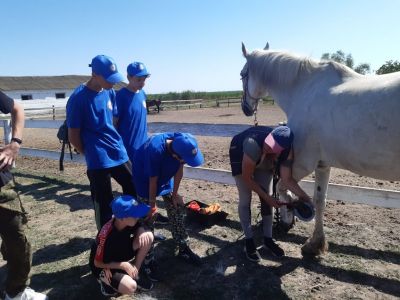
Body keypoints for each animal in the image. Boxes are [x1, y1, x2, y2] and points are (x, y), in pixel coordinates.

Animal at [241, 42, 400, 255]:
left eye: (242, 74)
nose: (246, 108)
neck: (303, 89)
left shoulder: (302, 163)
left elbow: (283, 188)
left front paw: (289, 215)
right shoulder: (322, 164)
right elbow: (319, 200)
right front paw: (314, 244)